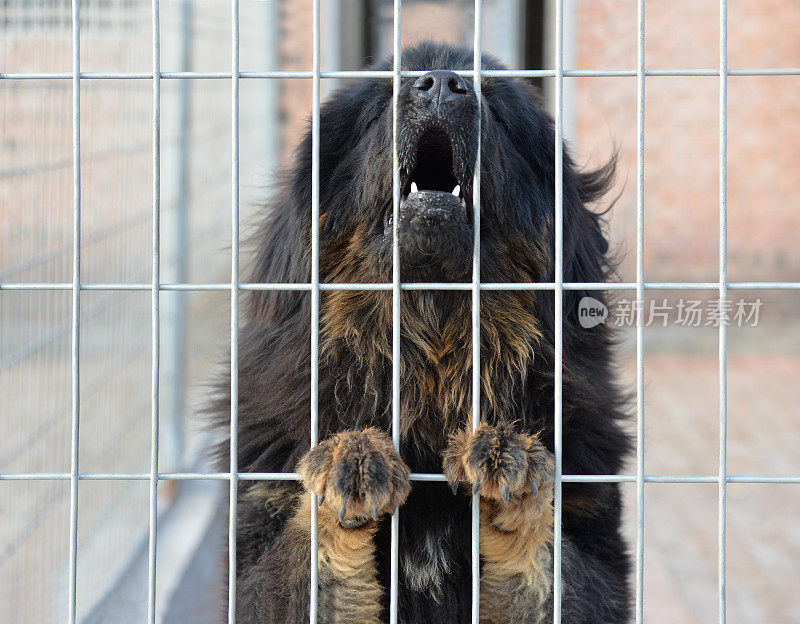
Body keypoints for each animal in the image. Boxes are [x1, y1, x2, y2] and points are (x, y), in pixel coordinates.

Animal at [211, 42, 632, 624]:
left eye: (497, 111)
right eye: (383, 100)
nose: (441, 84)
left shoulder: (597, 563)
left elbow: (550, 565)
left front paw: (509, 461)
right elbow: (297, 565)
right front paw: (350, 463)